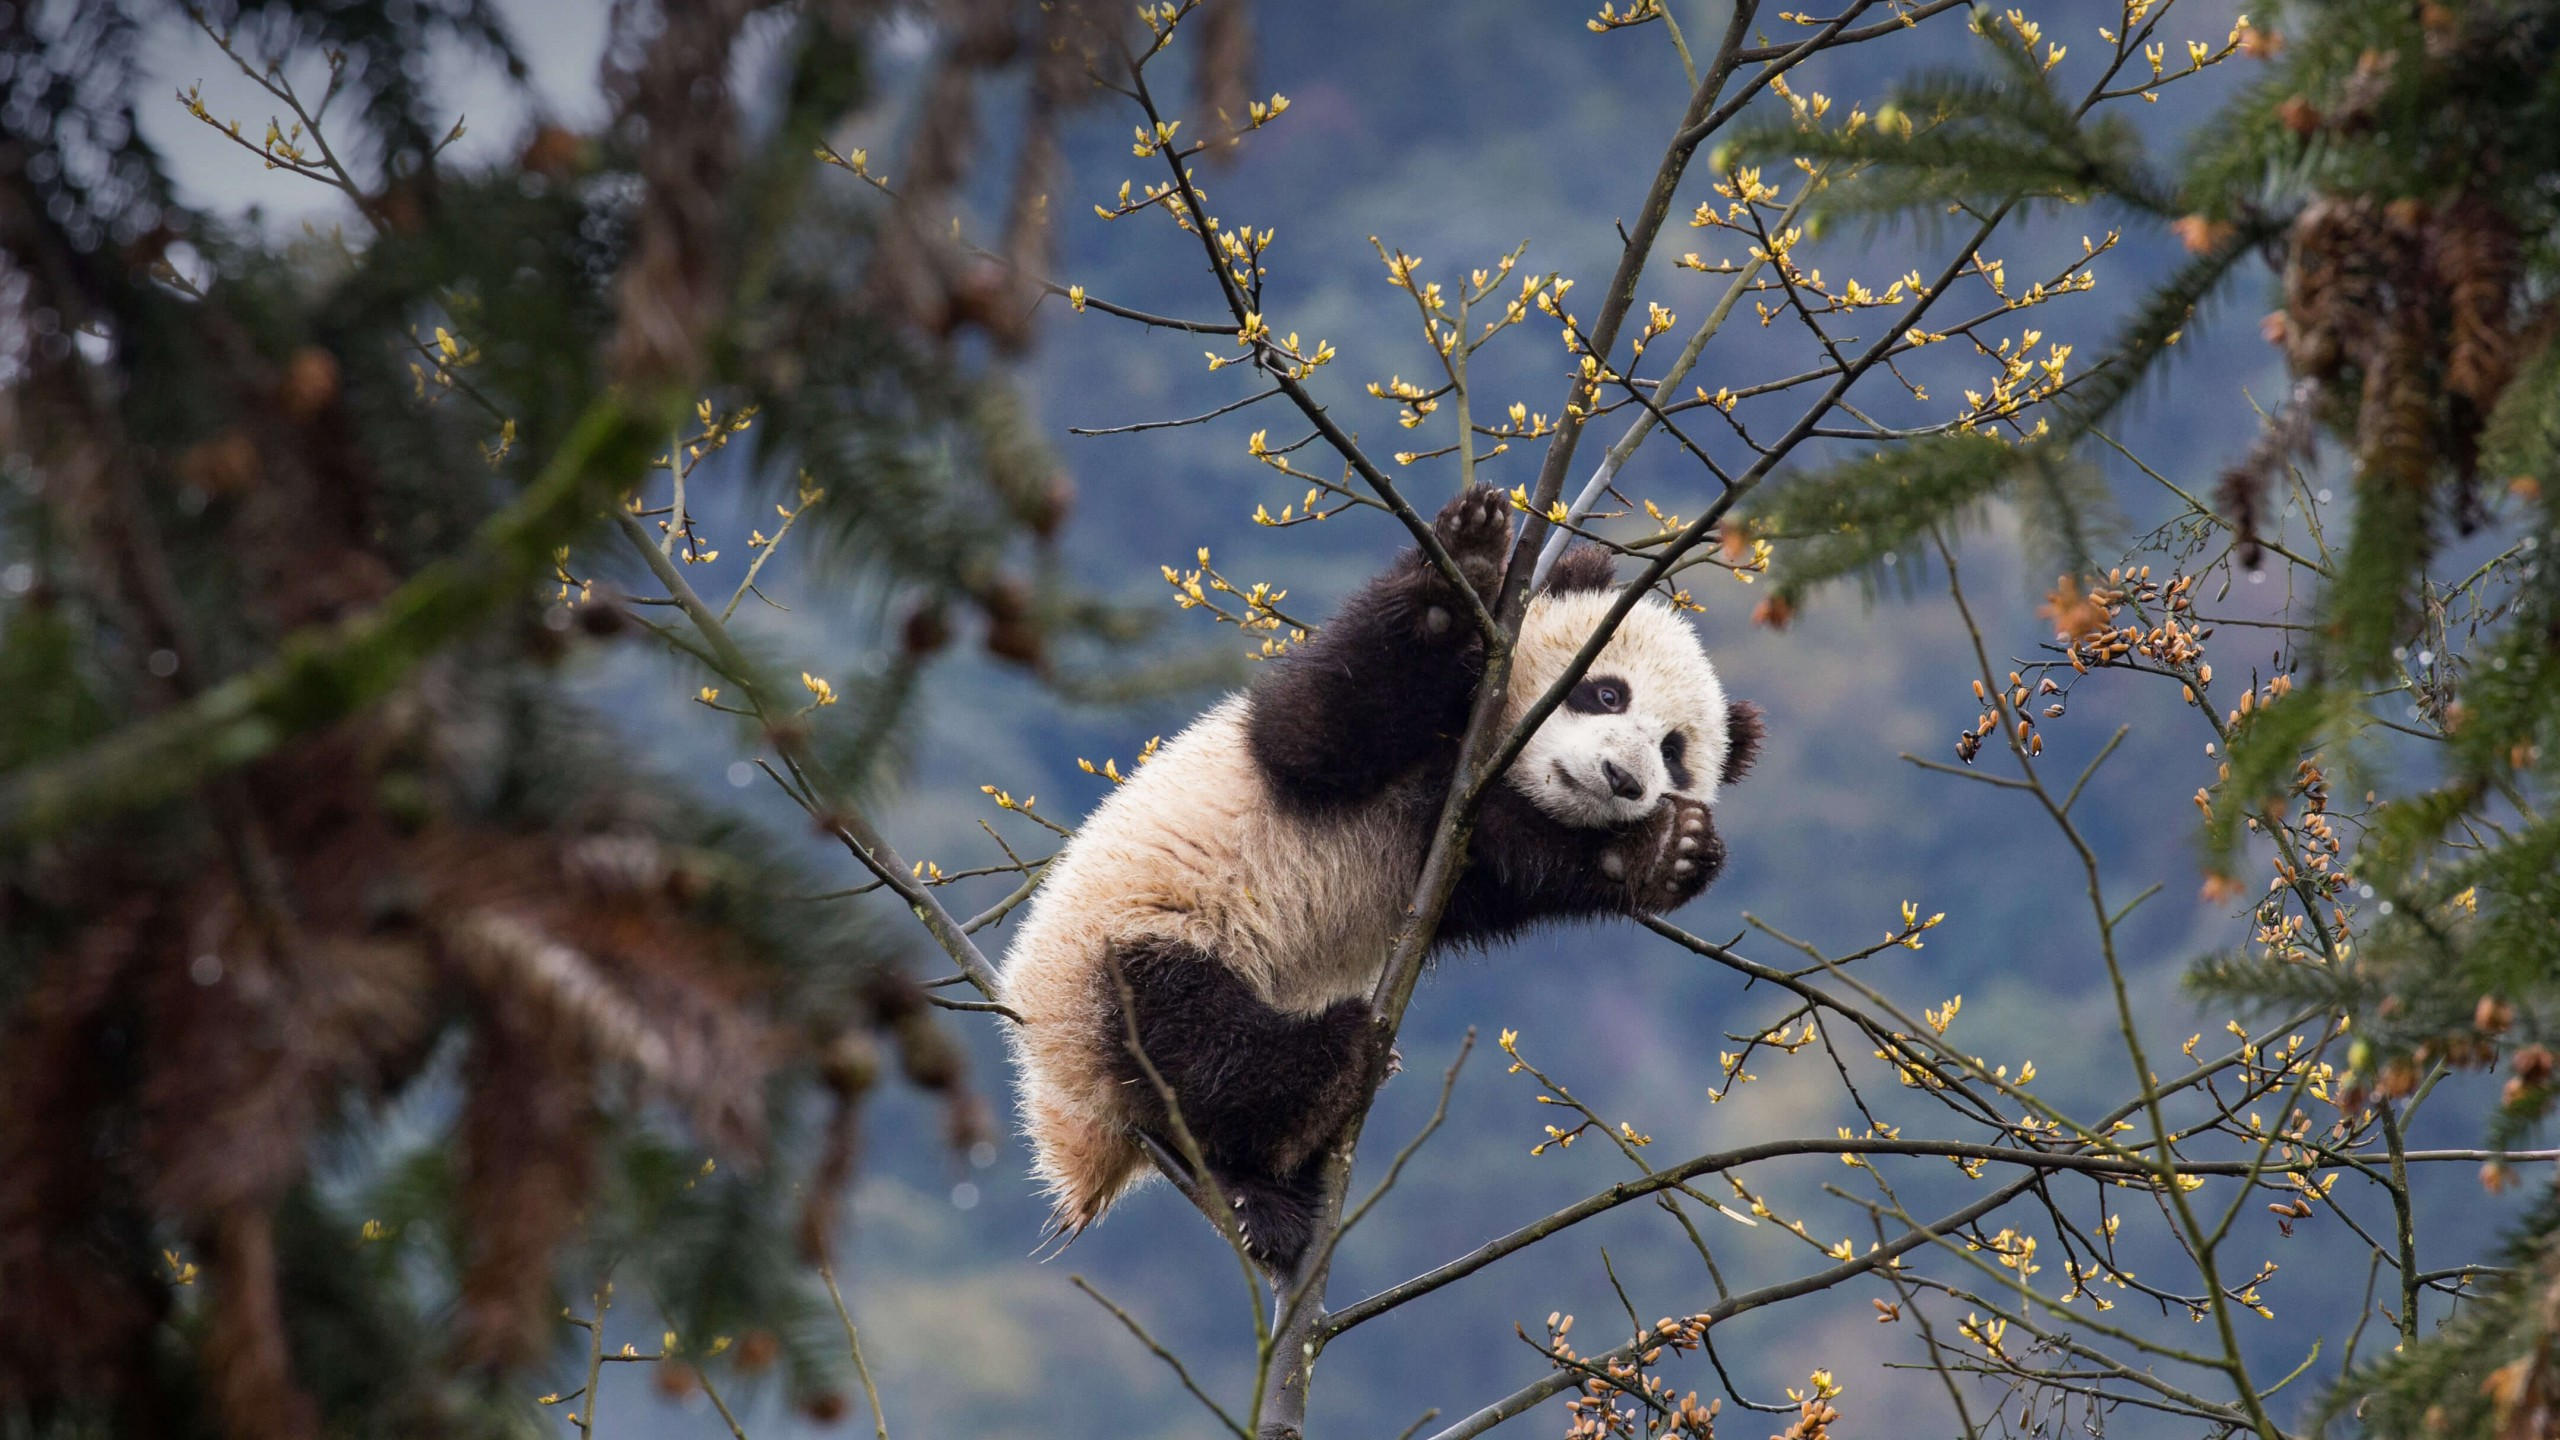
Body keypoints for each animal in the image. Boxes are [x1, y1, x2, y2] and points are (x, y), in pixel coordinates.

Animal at [998, 484, 1761, 1268]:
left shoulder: (1457, 842)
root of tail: (1073, 1122)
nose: (1621, 779)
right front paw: (1467, 559)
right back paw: (1331, 1071)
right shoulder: (1330, 742)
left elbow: (1515, 866)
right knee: (1190, 1040)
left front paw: (1667, 850)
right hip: (1122, 950)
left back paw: (1273, 1183)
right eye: (1608, 694)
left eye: (1673, 754)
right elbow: (1320, 727)